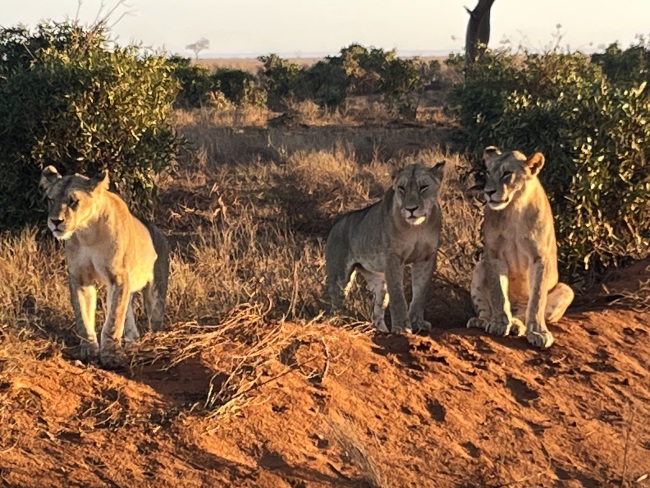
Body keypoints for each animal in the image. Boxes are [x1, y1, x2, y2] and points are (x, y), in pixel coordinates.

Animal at [40, 166, 169, 367]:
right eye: (51, 199)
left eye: (73, 201)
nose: (55, 221)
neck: (87, 233)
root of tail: (158, 230)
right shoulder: (80, 278)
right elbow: (83, 317)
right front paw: (88, 351)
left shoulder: (118, 278)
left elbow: (114, 319)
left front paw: (111, 355)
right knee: (130, 323)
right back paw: (133, 346)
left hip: (156, 291)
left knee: (154, 320)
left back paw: (153, 344)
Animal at [325, 161, 445, 333]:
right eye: (401, 188)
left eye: (423, 187)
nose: (411, 209)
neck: (416, 228)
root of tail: (335, 226)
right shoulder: (393, 257)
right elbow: (397, 295)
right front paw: (402, 328)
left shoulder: (426, 258)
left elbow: (420, 292)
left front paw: (418, 323)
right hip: (340, 278)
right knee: (335, 305)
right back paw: (336, 324)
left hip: (377, 279)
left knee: (377, 312)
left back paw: (383, 332)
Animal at [466, 147, 574, 348]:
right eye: (488, 173)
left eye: (507, 173)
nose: (488, 192)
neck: (514, 208)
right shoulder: (494, 256)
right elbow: (499, 293)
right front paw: (499, 324)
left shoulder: (540, 258)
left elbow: (537, 299)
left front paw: (538, 332)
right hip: (480, 266)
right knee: (489, 308)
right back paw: (484, 321)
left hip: (566, 290)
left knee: (524, 313)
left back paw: (518, 325)